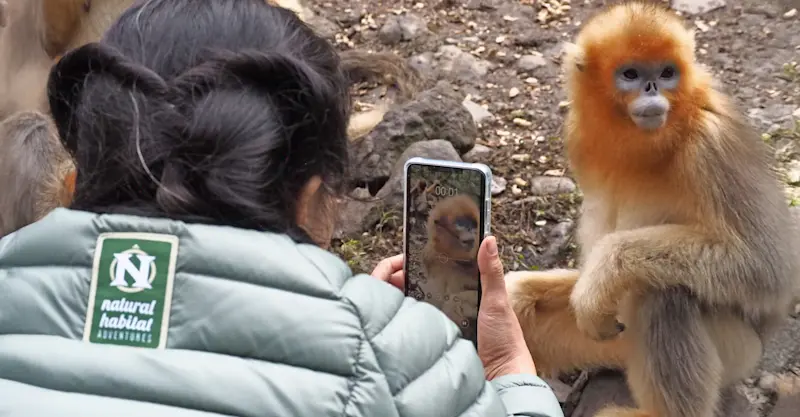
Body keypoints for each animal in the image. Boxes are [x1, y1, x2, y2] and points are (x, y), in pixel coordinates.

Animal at [504, 3, 799, 417]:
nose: (652, 88)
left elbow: (769, 268)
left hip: (738, 353)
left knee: (661, 294)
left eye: (666, 73)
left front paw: (607, 267)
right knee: (520, 299)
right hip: (612, 344)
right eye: (631, 75)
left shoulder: (712, 142)